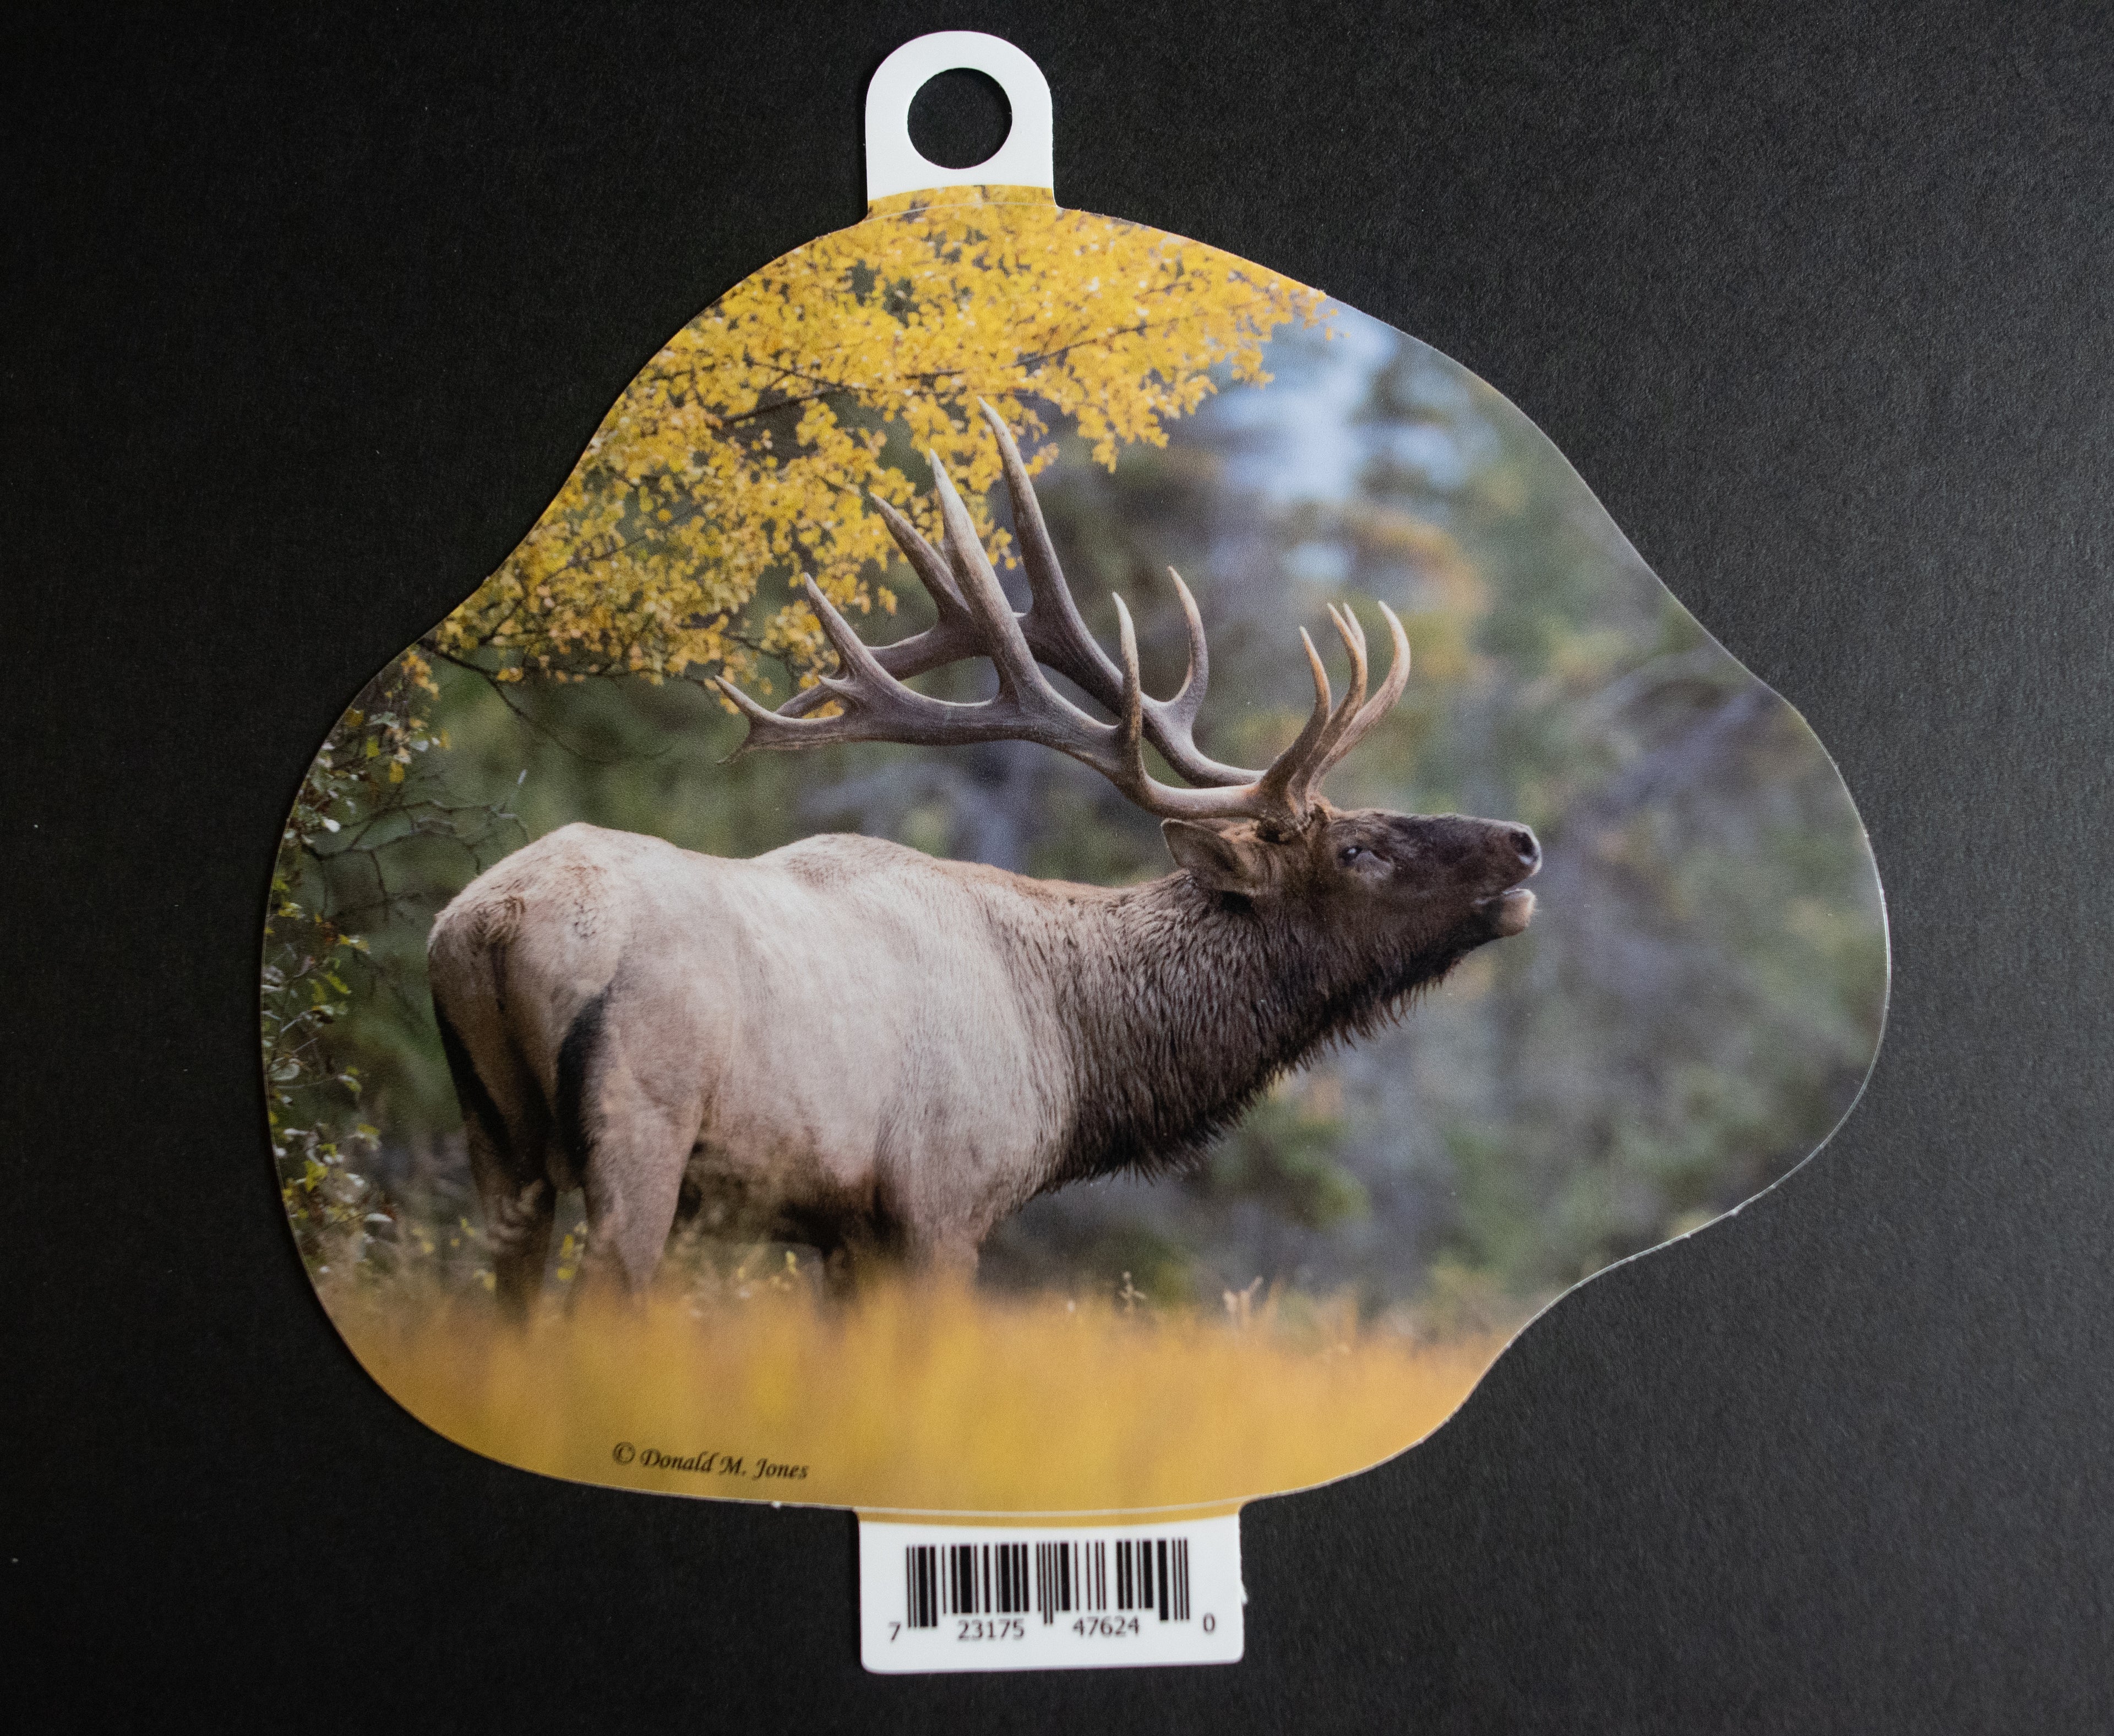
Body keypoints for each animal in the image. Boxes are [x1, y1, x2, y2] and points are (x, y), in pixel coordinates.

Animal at [427, 404, 1540, 1306]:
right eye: (1356, 846)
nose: (1522, 843)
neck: (1074, 1055)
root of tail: (484, 928)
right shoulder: (941, 1201)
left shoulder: (843, 1232)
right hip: (638, 1127)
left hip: (499, 1145)